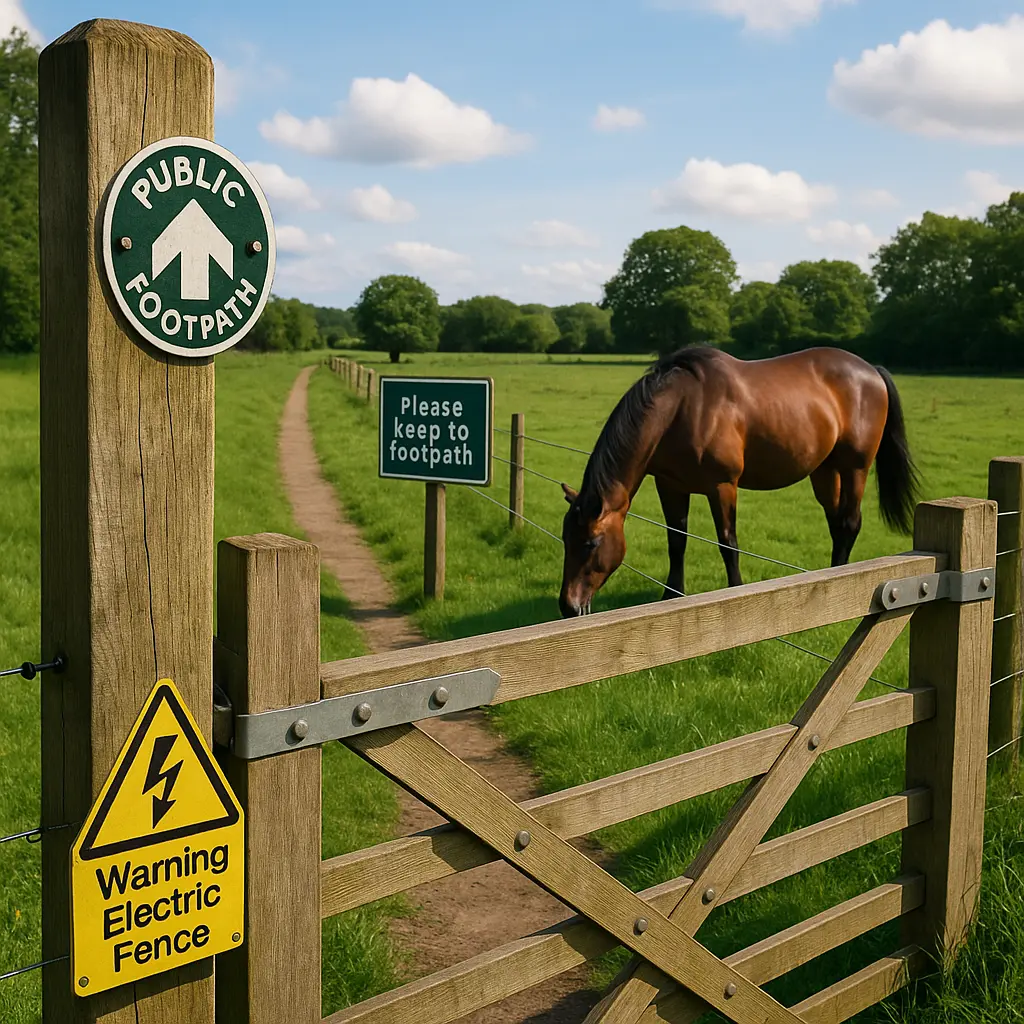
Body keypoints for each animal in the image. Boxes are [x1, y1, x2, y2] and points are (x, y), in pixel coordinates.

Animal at [558, 345, 918, 618]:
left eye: (590, 543)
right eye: (565, 539)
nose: (568, 606)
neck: (682, 408)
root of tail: (871, 370)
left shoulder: (722, 486)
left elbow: (727, 542)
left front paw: (735, 593)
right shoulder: (670, 485)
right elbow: (677, 541)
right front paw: (671, 597)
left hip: (855, 467)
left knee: (850, 522)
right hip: (825, 471)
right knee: (837, 523)